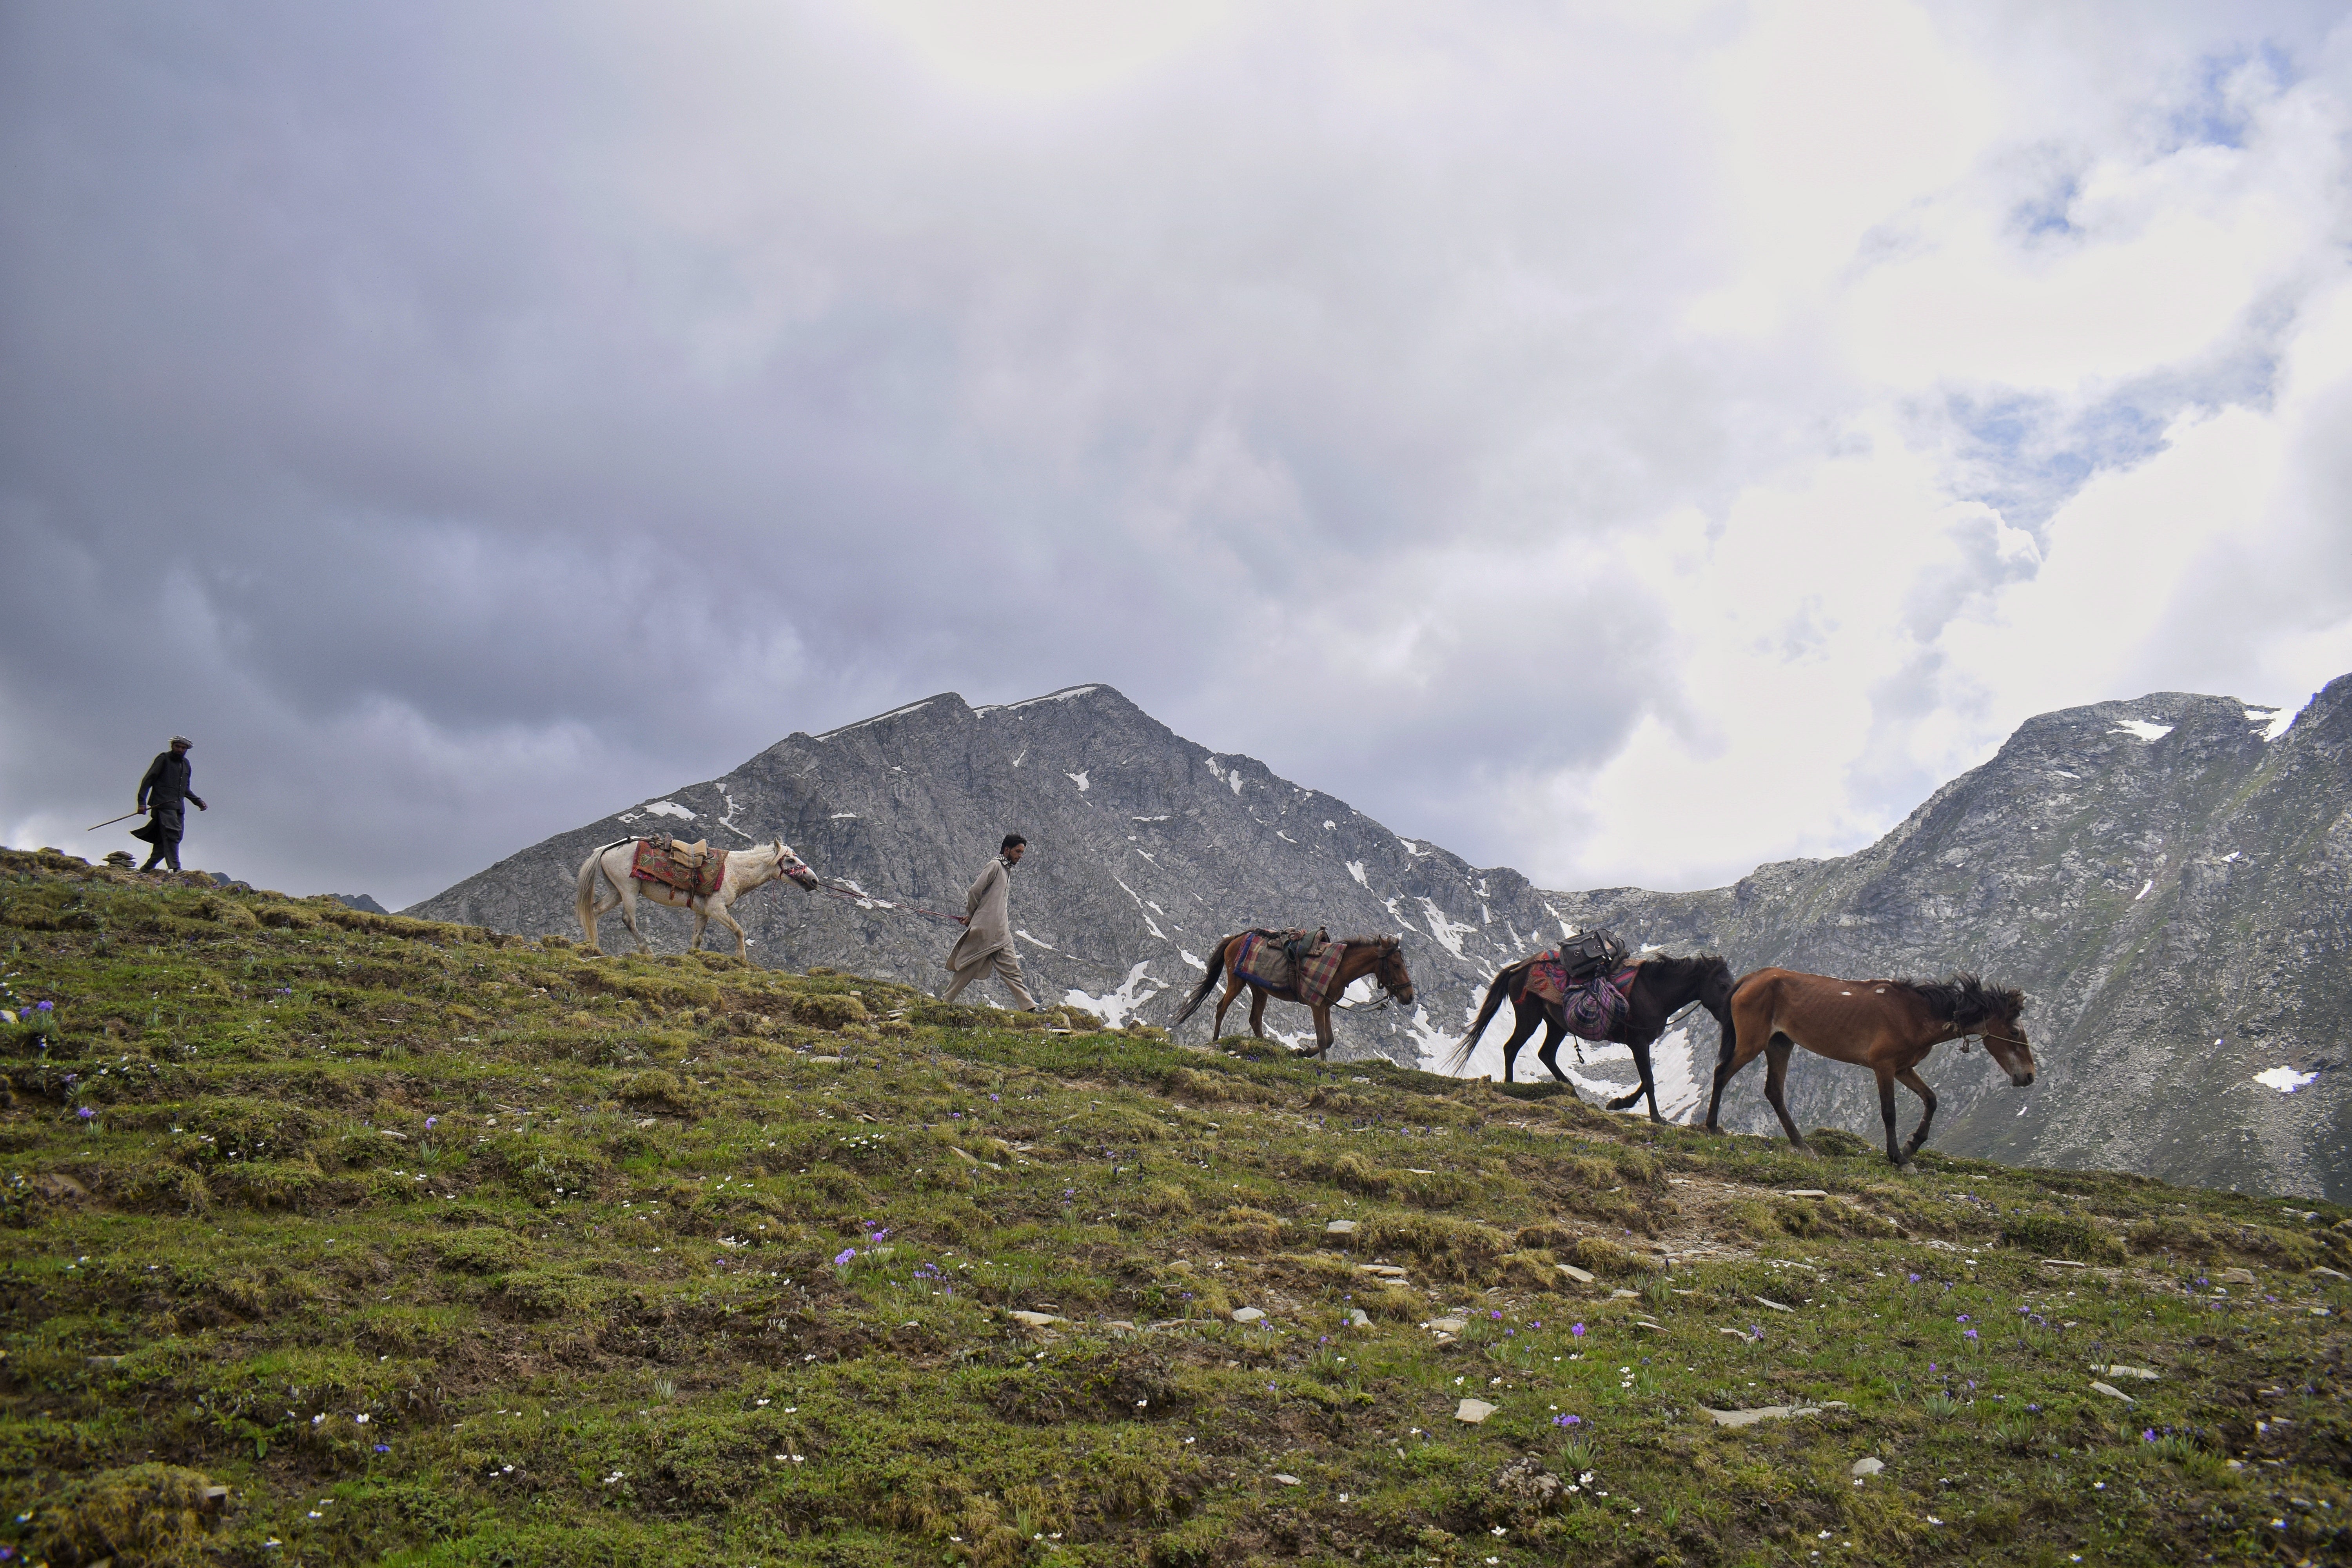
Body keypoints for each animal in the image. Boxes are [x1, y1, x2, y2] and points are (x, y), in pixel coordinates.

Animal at [574, 841, 823, 964]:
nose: (814, 880)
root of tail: (605, 850)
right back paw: (647, 952)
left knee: (595, 911)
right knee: (628, 920)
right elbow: (739, 930)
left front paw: (691, 957)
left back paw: (594, 946)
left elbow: (697, 939)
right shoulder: (716, 909)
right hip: (629, 890)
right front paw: (742, 958)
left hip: (616, 892)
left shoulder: (702, 913)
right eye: (790, 860)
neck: (734, 871)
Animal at [1171, 926, 1411, 1062]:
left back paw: (1268, 1047)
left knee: (1255, 1019)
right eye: (1397, 965)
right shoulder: (1317, 1005)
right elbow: (1323, 1040)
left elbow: (1330, 1040)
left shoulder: (1325, 1005)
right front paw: (1322, 1065)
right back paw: (1214, 1041)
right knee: (1222, 1008)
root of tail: (1236, 938)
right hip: (1237, 981)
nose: (1409, 996)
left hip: (1259, 988)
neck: (1338, 967)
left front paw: (1303, 1053)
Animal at [1439, 949, 1740, 1123]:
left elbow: (1645, 1081)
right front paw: (1656, 1118)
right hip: (1529, 1017)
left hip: (1557, 1025)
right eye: (1722, 985)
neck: (1654, 991)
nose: (1731, 1017)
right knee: (1511, 1048)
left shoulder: (1641, 1043)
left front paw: (1619, 1103)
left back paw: (1571, 1091)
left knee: (1545, 1054)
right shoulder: (1638, 1042)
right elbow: (1649, 1081)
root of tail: (1519, 968)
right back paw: (1512, 1086)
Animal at [1703, 964, 2032, 1171]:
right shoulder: (1884, 1067)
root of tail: (1750, 980)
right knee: (1722, 1073)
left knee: (1774, 1091)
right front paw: (1898, 1157)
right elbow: (1889, 1113)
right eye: (2015, 1032)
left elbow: (1931, 1100)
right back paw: (1712, 1127)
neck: (1914, 1013)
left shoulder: (1903, 1069)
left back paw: (1802, 1145)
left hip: (1780, 1044)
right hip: (1752, 1044)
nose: (2028, 1076)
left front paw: (1913, 1146)